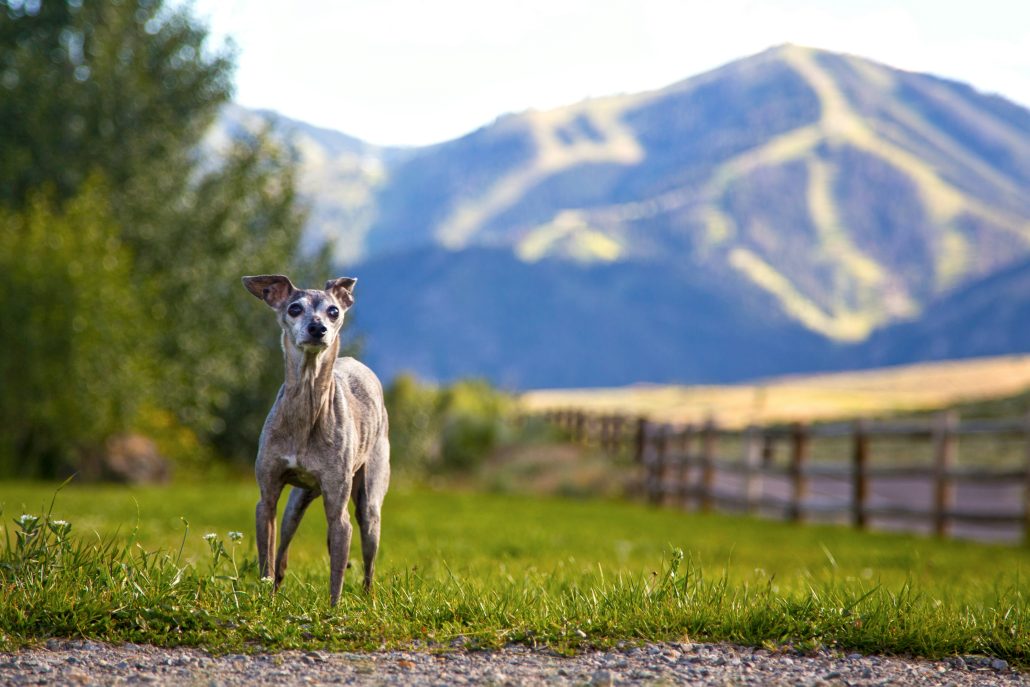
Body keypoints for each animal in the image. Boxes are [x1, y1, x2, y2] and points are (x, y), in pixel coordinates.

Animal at [241, 273, 389, 605]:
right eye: (294, 308)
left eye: (333, 311)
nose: (317, 328)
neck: (306, 412)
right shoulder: (266, 500)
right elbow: (267, 559)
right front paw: (265, 598)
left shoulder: (339, 513)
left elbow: (337, 575)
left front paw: (333, 610)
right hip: (296, 504)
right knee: (283, 551)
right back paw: (277, 586)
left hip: (368, 504)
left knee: (368, 561)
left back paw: (368, 599)